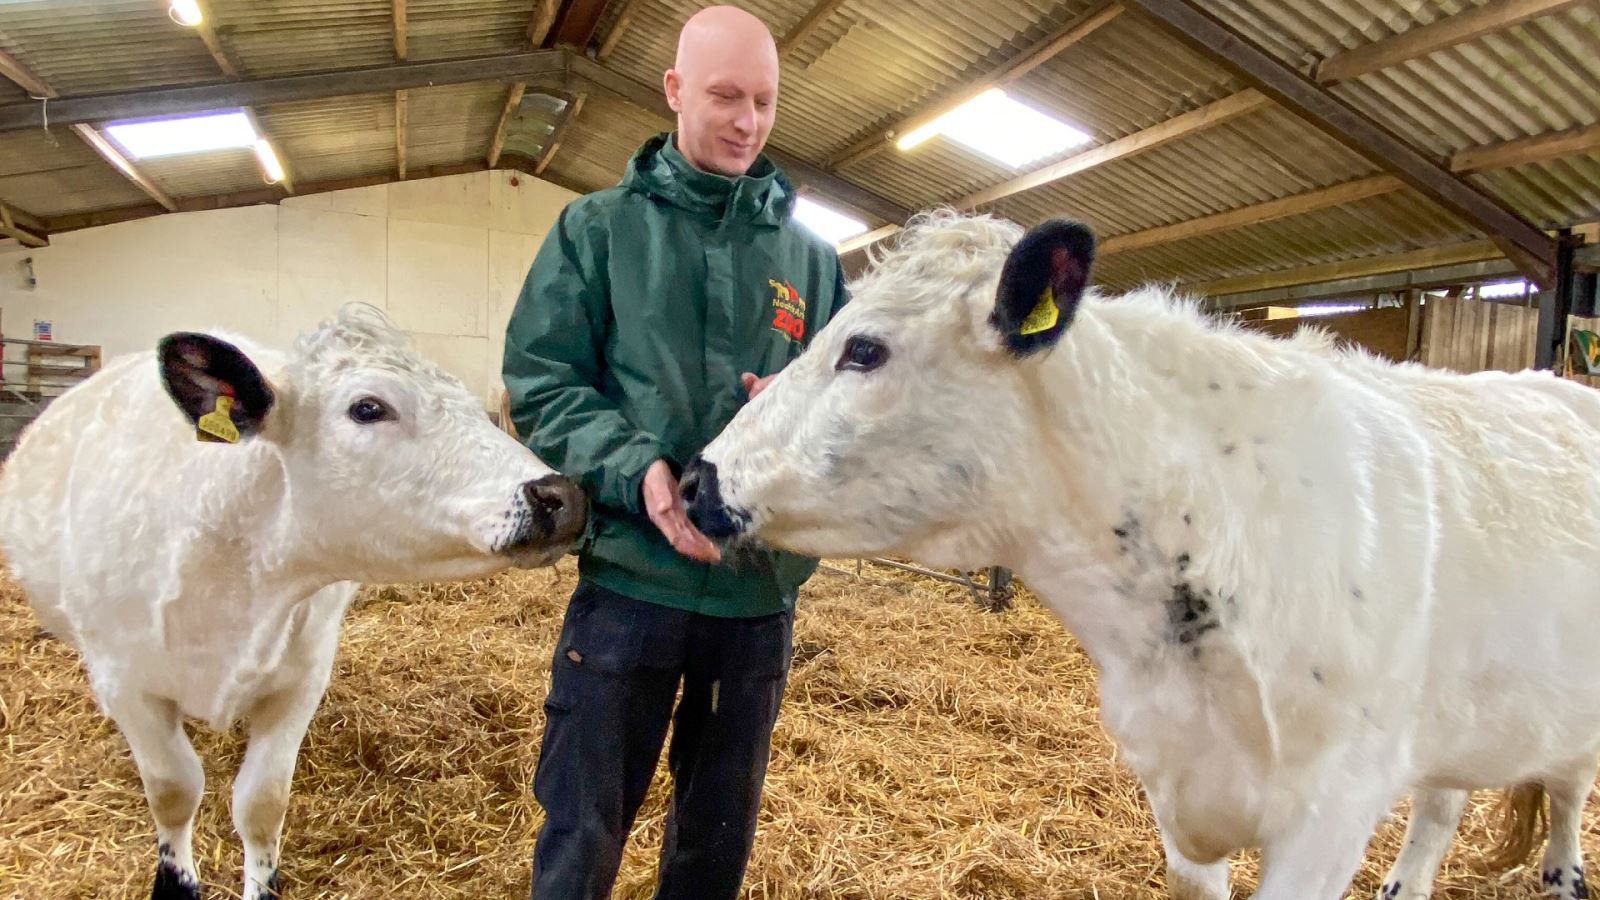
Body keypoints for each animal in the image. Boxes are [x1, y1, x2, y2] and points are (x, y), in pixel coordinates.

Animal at [0, 302, 588, 896]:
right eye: (368, 407)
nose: (561, 495)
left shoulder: (301, 679)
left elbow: (261, 803)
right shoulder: (127, 683)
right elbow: (173, 791)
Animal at [681, 209, 1600, 896]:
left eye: (865, 348)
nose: (696, 479)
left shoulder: (1331, 813)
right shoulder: (1175, 793)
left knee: (1565, 791)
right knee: (1448, 803)